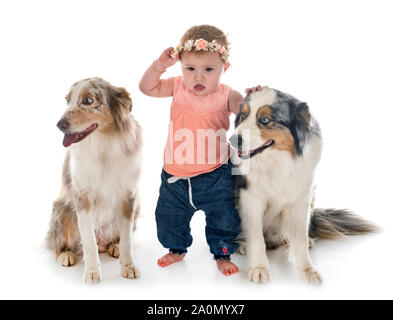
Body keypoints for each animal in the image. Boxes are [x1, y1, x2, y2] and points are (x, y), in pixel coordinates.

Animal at [45, 78, 142, 284]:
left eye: (88, 100)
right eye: (67, 100)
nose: (59, 124)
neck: (103, 143)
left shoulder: (129, 196)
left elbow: (127, 240)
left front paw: (128, 266)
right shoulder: (82, 198)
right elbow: (89, 241)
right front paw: (91, 272)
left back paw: (114, 246)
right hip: (62, 209)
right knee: (57, 243)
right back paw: (66, 254)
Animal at [230, 86, 376, 284]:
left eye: (264, 120)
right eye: (243, 116)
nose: (232, 139)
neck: (277, 162)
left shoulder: (301, 199)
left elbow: (299, 239)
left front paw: (307, 270)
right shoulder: (250, 198)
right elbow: (256, 238)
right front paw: (258, 268)